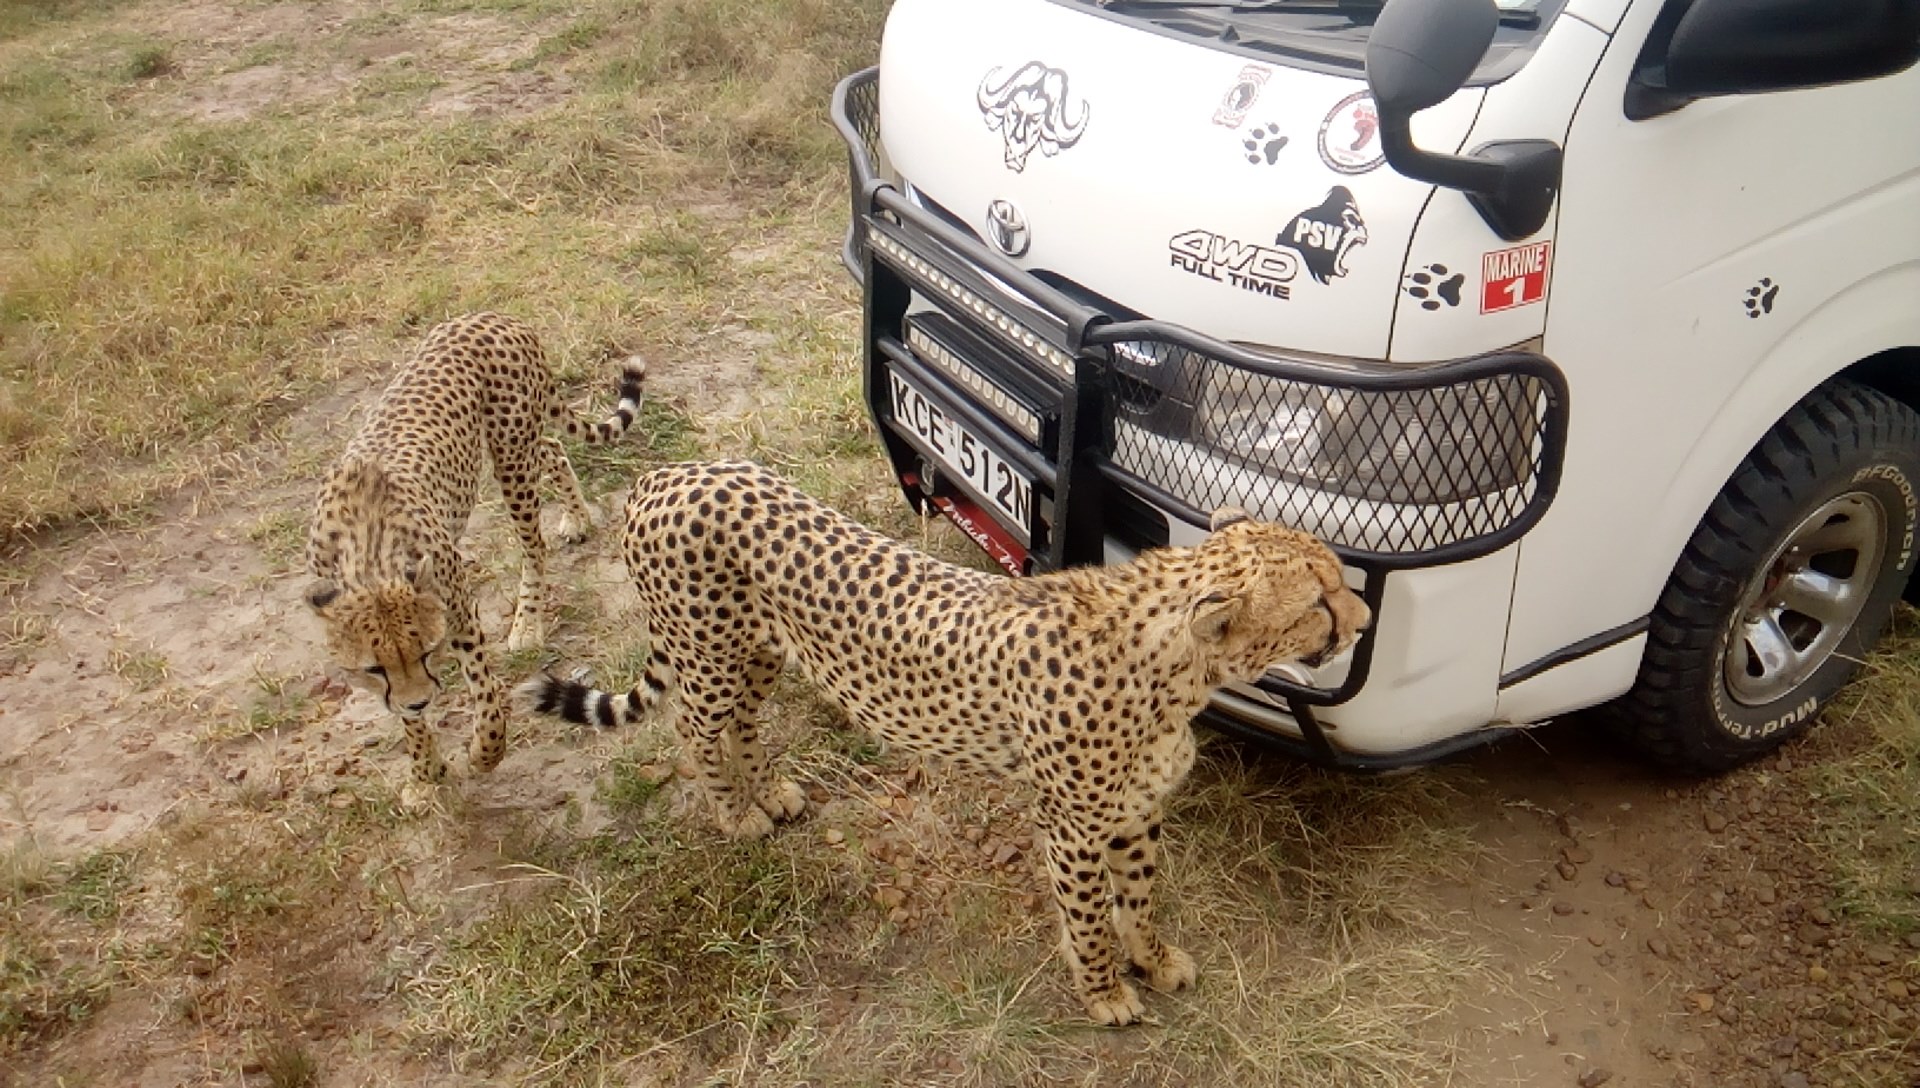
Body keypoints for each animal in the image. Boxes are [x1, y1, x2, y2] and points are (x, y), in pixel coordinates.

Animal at [305, 312, 645, 782]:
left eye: (427, 652)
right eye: (374, 668)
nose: (419, 701)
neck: (370, 558)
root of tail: (493, 316)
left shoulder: (459, 608)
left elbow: (484, 691)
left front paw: (485, 753)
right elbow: (408, 722)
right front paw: (426, 771)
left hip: (510, 454)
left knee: (533, 543)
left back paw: (527, 623)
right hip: (519, 447)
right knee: (553, 448)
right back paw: (576, 517)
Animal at [518, 462, 1374, 1028]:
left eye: (1339, 580)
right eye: (1318, 601)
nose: (1364, 621)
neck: (1177, 666)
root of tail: (670, 472)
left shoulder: (1133, 811)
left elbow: (1138, 895)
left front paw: (1155, 960)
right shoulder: (1071, 825)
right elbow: (1090, 915)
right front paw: (1104, 993)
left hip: (759, 651)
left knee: (746, 722)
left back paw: (773, 792)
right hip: (709, 658)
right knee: (695, 729)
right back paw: (735, 815)